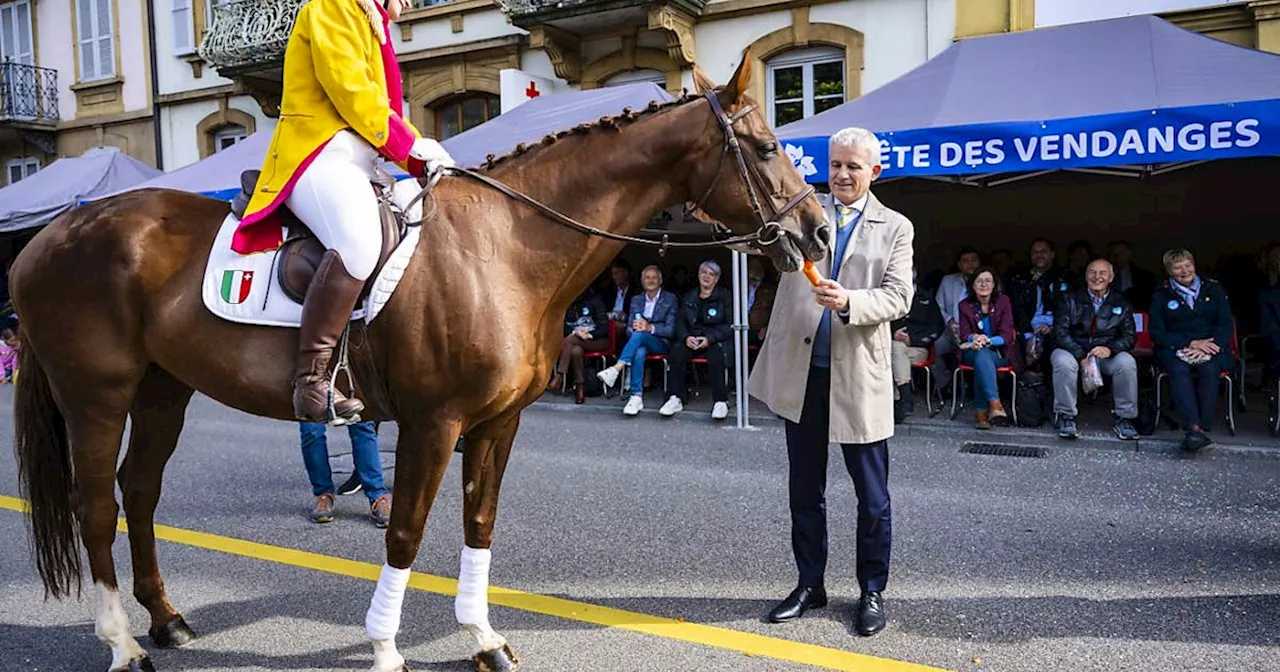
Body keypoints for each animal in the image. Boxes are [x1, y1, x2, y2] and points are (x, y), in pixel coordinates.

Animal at [10, 55, 824, 665]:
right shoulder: (434, 423)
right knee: (95, 505)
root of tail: (47, 238)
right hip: (96, 399)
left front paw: (484, 639)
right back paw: (122, 644)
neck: (505, 244)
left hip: (162, 393)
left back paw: (167, 620)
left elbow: (479, 523)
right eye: (764, 148)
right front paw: (384, 649)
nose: (816, 231)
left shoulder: (497, 424)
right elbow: (404, 530)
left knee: (139, 493)